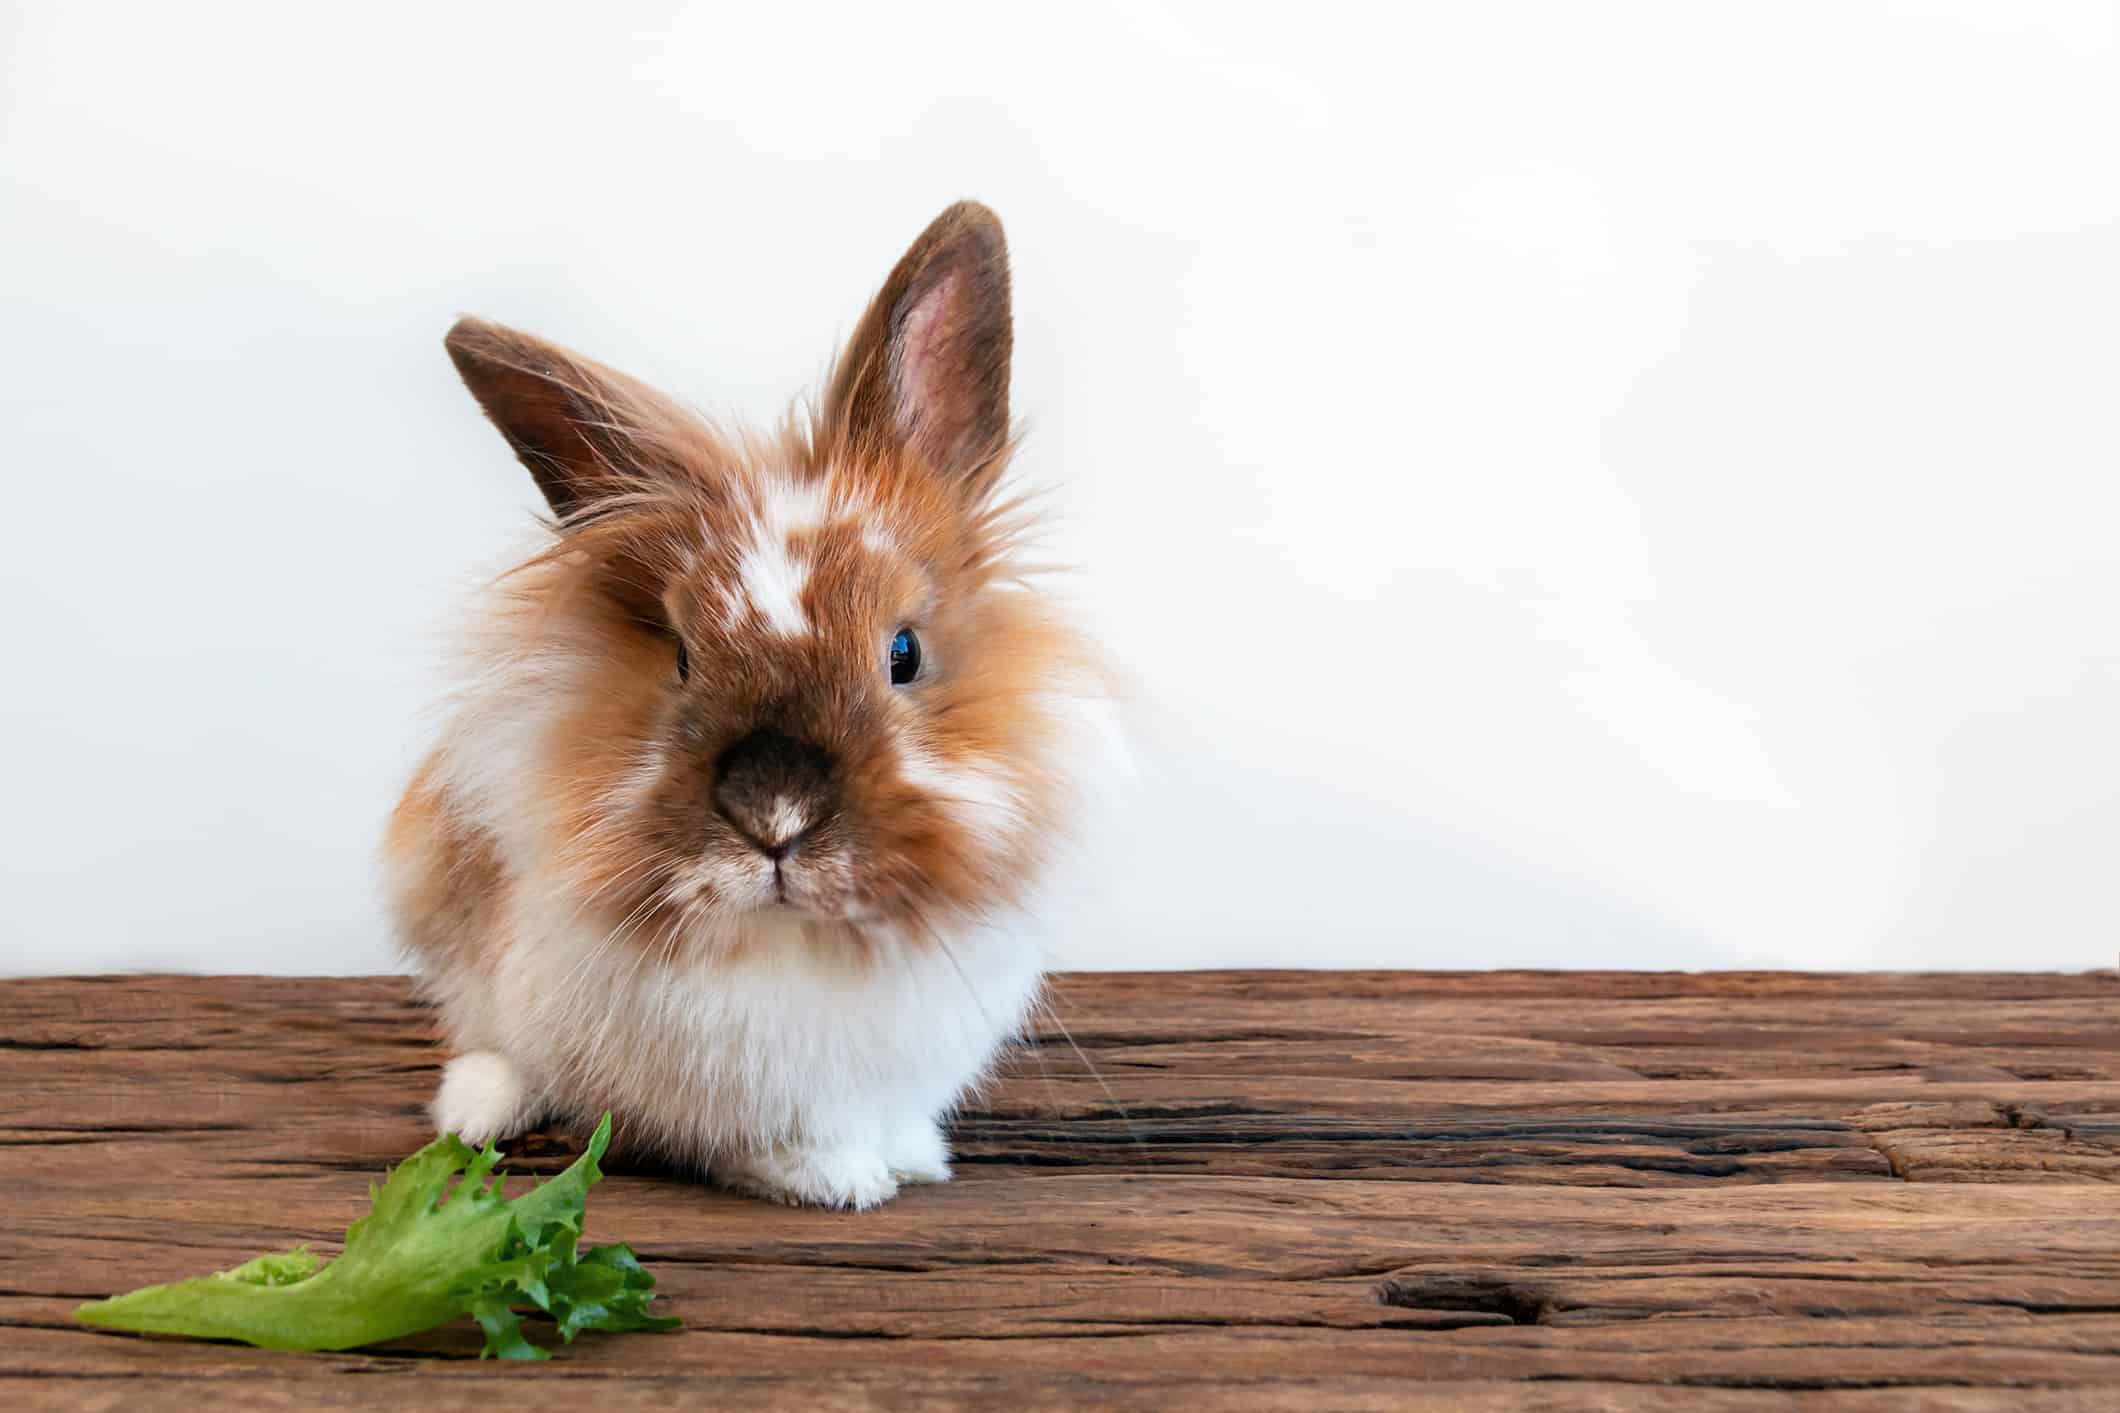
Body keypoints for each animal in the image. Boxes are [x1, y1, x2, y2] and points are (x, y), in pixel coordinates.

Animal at [383, 203, 1116, 1210]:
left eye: (904, 653)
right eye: (683, 657)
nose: (776, 816)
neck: (800, 939)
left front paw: (911, 1156)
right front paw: (837, 1177)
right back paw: (475, 1109)